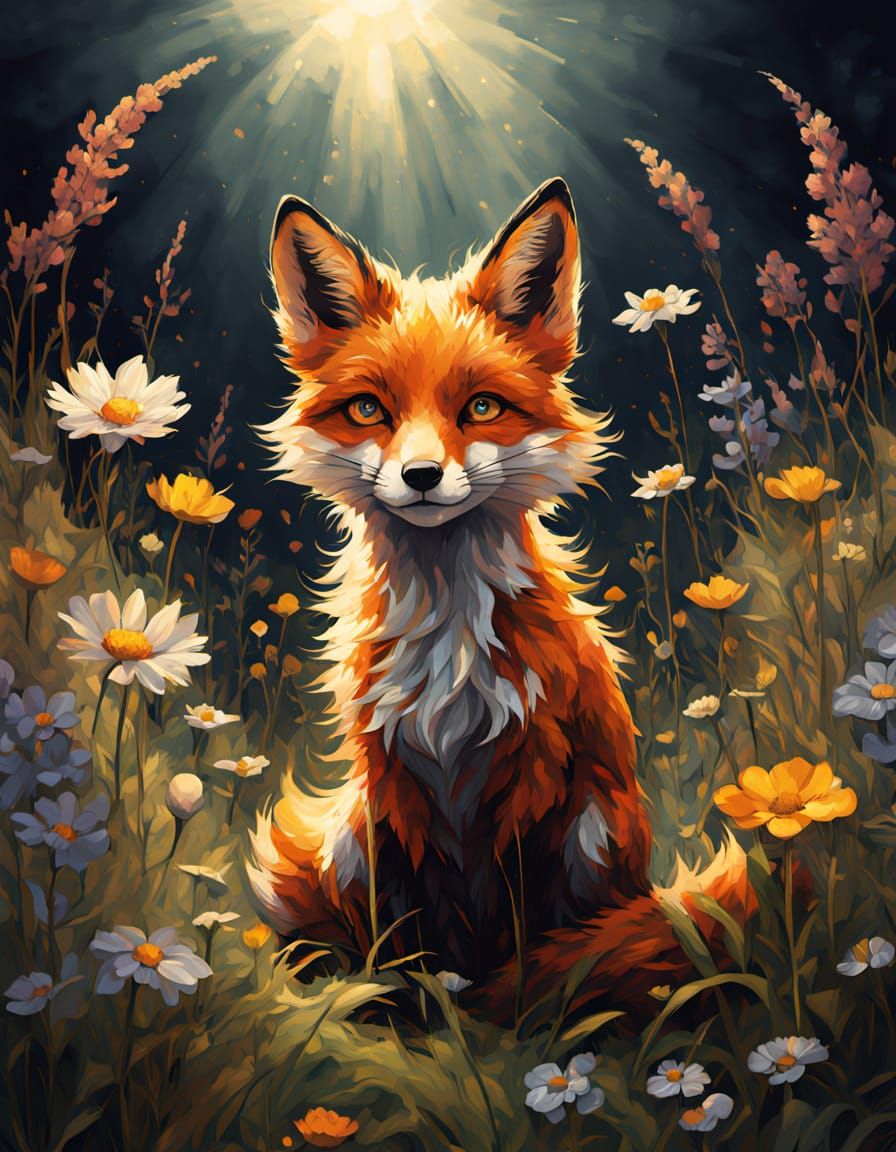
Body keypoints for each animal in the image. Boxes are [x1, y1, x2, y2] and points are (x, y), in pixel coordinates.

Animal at [248, 178, 752, 1019]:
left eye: (481, 408)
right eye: (368, 410)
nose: (421, 476)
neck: (448, 646)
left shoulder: (536, 778)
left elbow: (520, 929)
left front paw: (501, 1014)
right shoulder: (394, 785)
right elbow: (416, 927)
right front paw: (421, 1010)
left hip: (599, 830)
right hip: (349, 832)